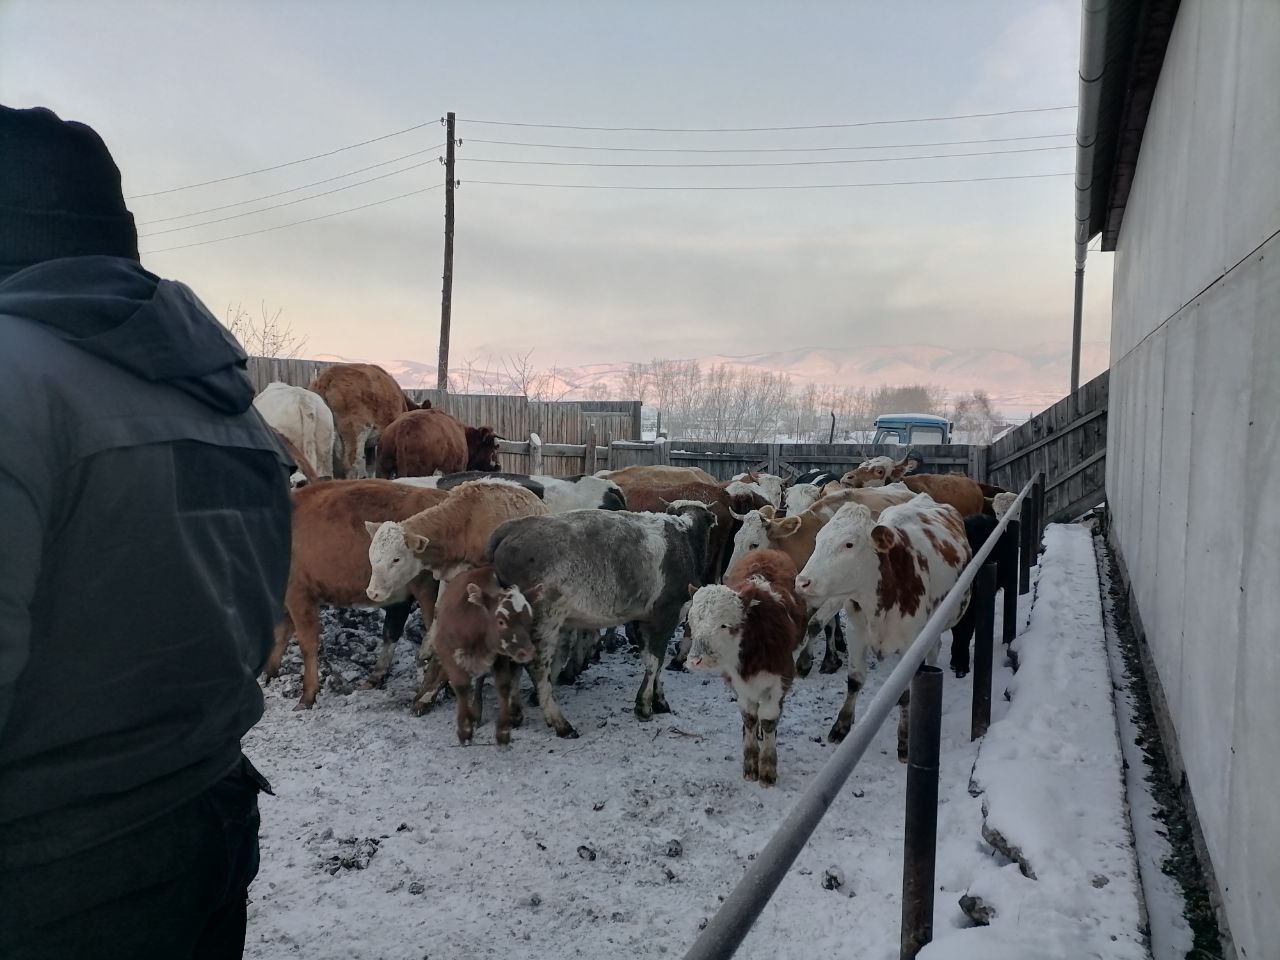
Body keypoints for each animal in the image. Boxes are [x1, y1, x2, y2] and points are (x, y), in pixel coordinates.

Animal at [483, 499, 716, 742]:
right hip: (544, 617)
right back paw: (560, 723)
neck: (684, 538)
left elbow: (653, 662)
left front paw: (658, 700)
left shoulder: (642, 619)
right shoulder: (664, 614)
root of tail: (512, 527)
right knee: (536, 667)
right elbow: (655, 661)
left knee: (511, 663)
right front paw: (644, 706)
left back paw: (515, 714)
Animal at [686, 552, 803, 783]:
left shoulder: (781, 679)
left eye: (724, 625)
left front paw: (767, 768)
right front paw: (750, 764)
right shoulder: (738, 682)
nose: (695, 660)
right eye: (691, 622)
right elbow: (749, 717)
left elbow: (768, 719)